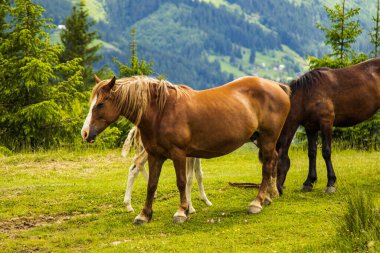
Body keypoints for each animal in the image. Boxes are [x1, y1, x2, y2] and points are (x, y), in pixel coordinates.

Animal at [81, 74, 290, 223]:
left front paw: (182, 211)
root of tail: (277, 86)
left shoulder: (179, 154)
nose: (85, 133)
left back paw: (257, 202)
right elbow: (152, 184)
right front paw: (144, 214)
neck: (161, 111)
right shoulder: (155, 156)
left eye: (100, 104)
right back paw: (269, 196)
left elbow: (182, 181)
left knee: (267, 167)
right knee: (272, 162)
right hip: (262, 140)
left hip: (268, 139)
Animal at [276, 58, 380, 195]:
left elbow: (326, 152)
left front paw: (331, 183)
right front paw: (309, 182)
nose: (276, 191)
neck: (307, 95)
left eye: (275, 167)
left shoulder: (326, 122)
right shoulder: (310, 127)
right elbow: (312, 152)